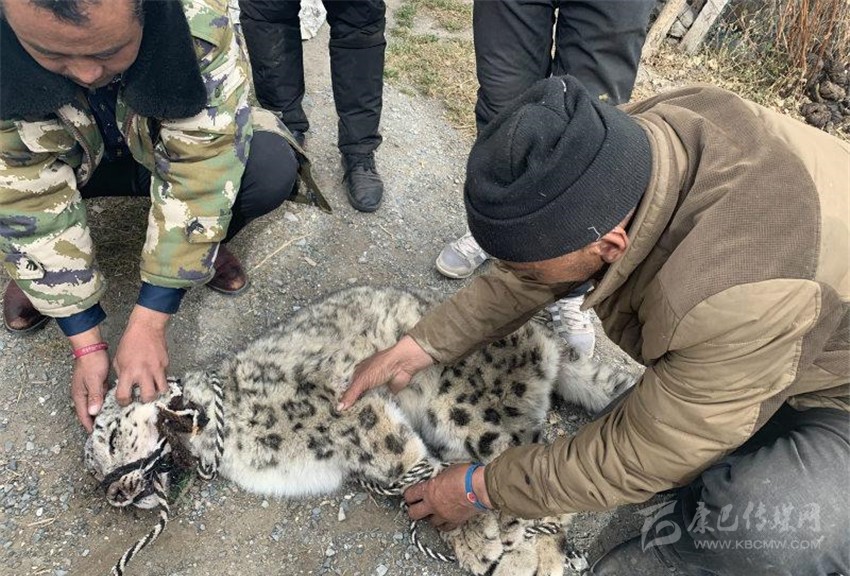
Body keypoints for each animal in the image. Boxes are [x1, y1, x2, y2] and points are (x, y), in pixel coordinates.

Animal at [84, 286, 635, 576]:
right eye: (93, 471)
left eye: (110, 440)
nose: (113, 494)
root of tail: (541, 337)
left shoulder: (354, 410)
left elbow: (413, 466)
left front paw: (474, 538)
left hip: (466, 414)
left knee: (535, 482)